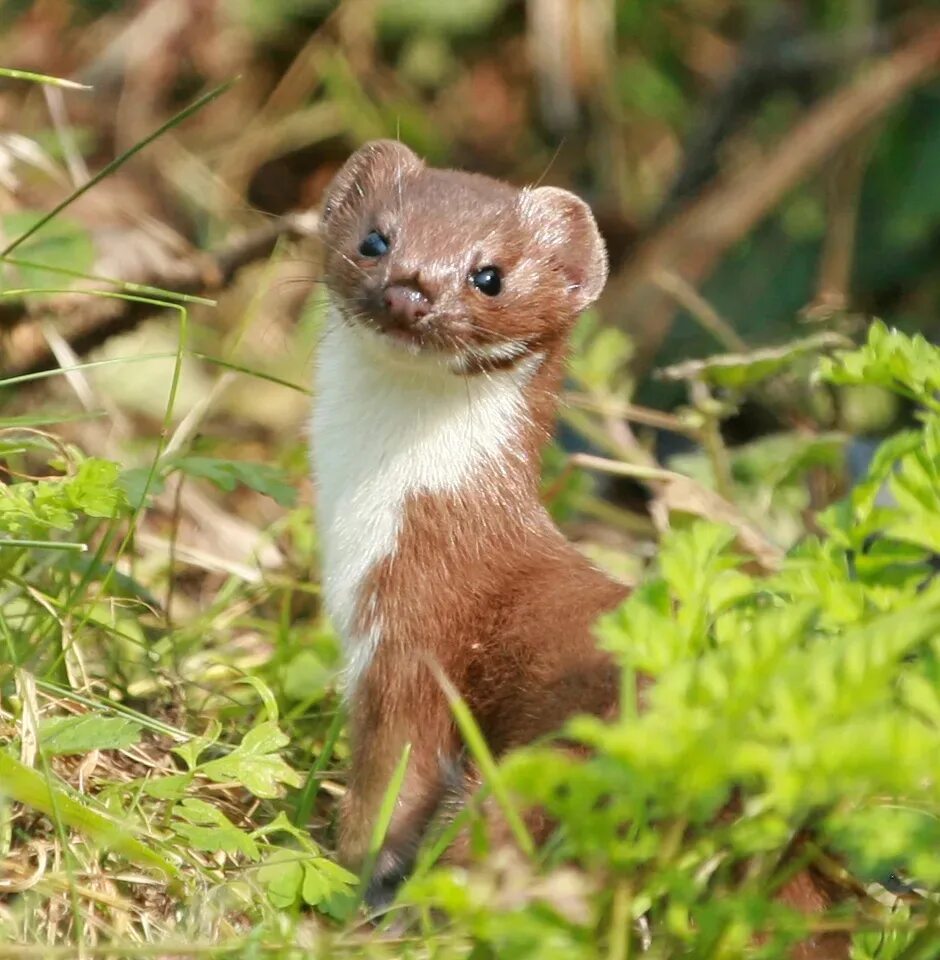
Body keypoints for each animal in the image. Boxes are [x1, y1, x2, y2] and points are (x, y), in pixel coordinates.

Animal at [312, 139, 848, 956]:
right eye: (377, 238)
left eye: (490, 274)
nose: (409, 291)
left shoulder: (411, 640)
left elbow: (393, 784)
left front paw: (353, 883)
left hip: (553, 770)